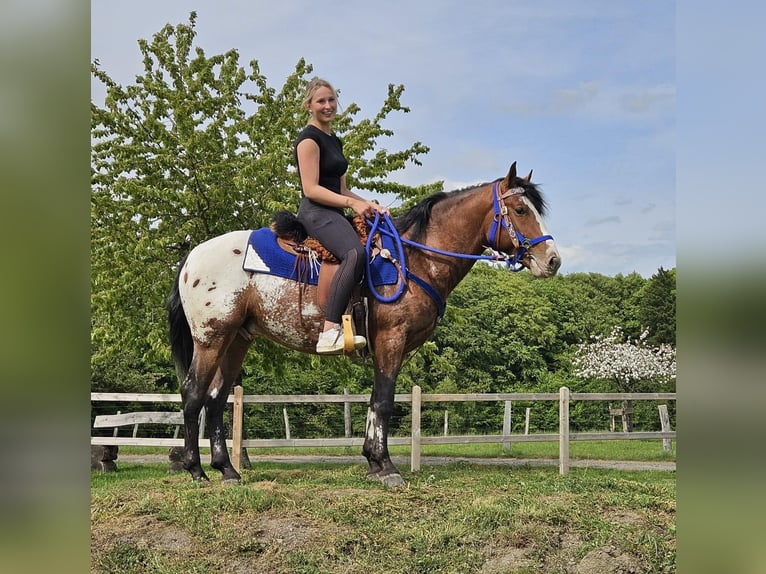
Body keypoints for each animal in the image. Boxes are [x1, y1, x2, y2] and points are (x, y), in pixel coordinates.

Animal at [167, 162, 561, 486]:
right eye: (521, 210)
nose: (553, 260)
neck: (414, 259)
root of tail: (193, 255)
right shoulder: (391, 337)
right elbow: (384, 401)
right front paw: (385, 467)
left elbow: (374, 401)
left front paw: (373, 462)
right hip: (211, 338)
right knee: (193, 394)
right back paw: (197, 470)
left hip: (236, 340)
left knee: (216, 399)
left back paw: (227, 470)